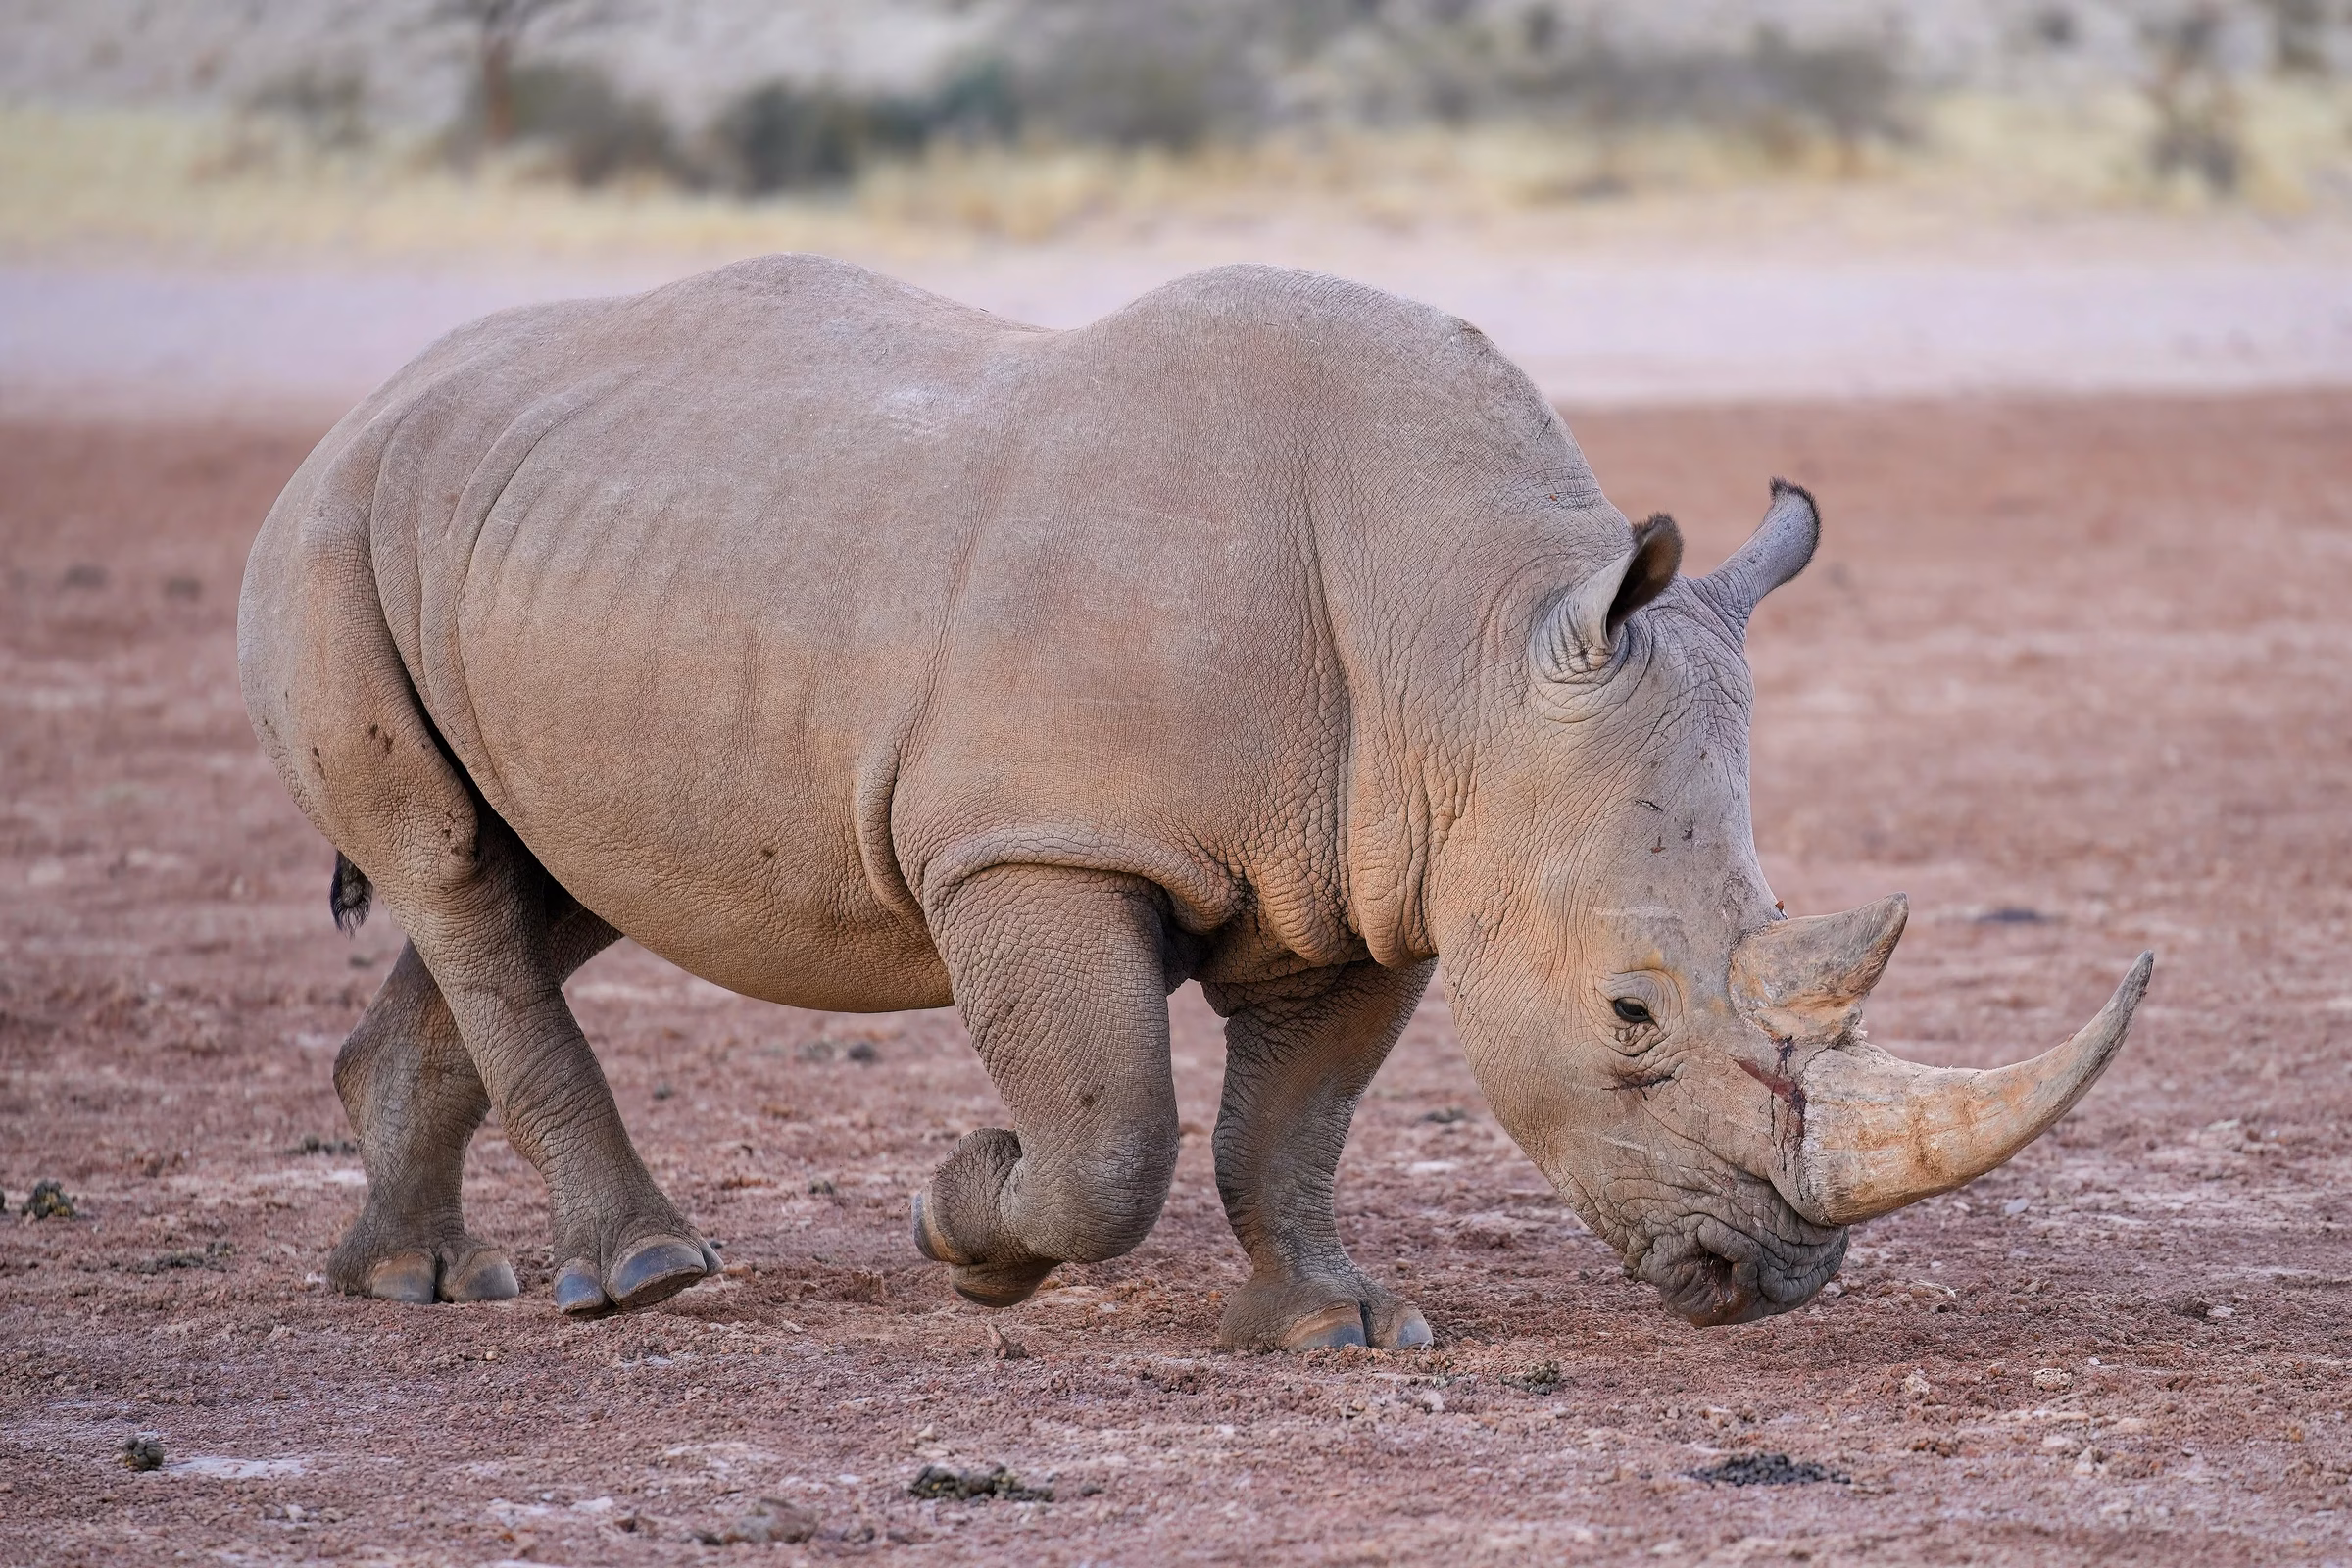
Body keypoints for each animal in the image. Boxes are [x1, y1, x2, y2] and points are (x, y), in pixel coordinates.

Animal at [238, 256, 2152, 1347]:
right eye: (1629, 1013)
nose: (1771, 1282)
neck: (1468, 638)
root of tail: (368, 405)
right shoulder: (1035, 844)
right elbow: (1113, 1141)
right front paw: (967, 1221)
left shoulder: (1381, 872)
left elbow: (1286, 1124)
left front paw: (1337, 1331)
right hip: (336, 529)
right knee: (456, 870)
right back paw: (641, 1281)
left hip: (569, 546)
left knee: (539, 881)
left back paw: (417, 1285)